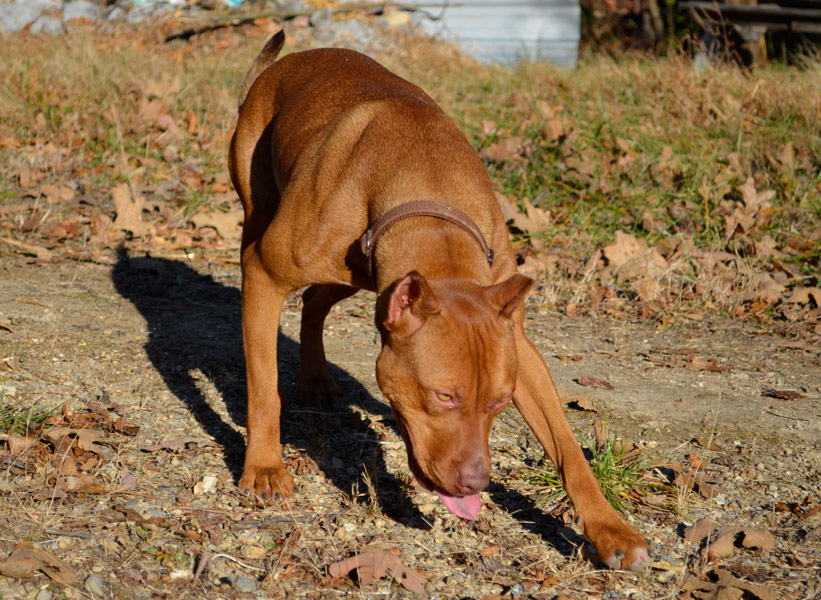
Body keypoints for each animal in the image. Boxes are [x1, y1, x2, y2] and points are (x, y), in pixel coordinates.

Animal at [231, 29, 652, 572]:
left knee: (317, 301)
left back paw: (317, 377)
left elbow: (567, 445)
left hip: (365, 281)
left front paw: (609, 529)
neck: (428, 203)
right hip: (261, 219)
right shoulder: (265, 277)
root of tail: (286, 64)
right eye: (442, 396)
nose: (477, 483)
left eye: (499, 402)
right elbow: (264, 388)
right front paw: (264, 467)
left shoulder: (517, 345)